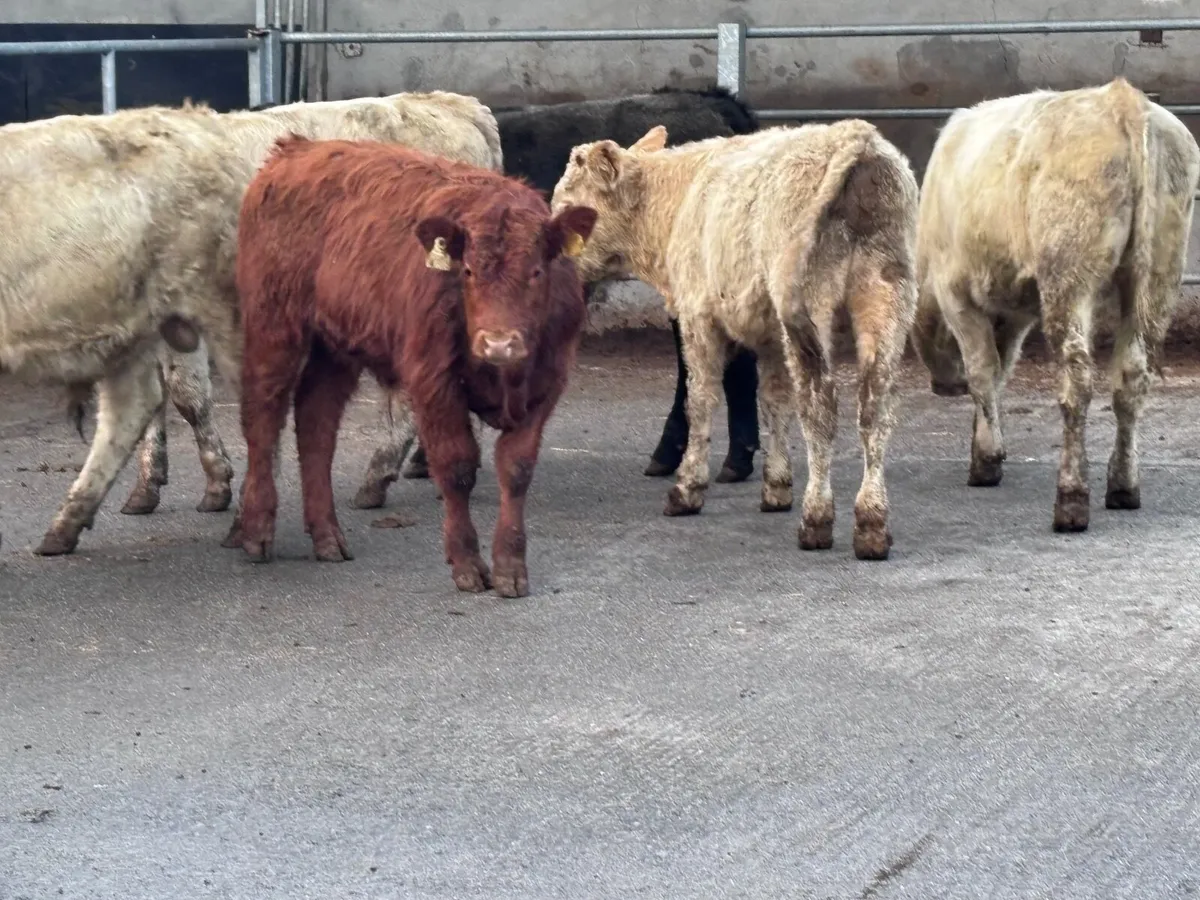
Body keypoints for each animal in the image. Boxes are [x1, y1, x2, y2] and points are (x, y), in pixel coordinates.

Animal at [0, 90, 502, 556]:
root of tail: (453, 102)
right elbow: (168, 399)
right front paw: (155, 484)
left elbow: (187, 396)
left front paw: (217, 484)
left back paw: (377, 476)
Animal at [221, 135, 597, 598]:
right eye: (467, 271)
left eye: (538, 271)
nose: (499, 342)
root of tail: (297, 148)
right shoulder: (433, 381)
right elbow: (456, 467)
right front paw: (467, 563)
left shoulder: (545, 387)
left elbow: (516, 470)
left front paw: (511, 567)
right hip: (274, 328)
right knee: (263, 414)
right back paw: (257, 530)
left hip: (335, 347)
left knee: (316, 424)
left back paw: (327, 535)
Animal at [550, 121, 920, 560]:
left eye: (568, 205)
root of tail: (855, 138)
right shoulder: (772, 334)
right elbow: (774, 400)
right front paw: (777, 486)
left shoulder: (698, 315)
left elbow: (701, 398)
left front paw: (687, 487)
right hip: (887, 295)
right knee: (875, 407)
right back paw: (872, 523)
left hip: (812, 301)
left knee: (820, 407)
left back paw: (817, 518)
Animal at [911, 77, 1200, 533]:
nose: (943, 386)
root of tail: (1122, 100)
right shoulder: (1015, 313)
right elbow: (998, 372)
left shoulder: (957, 294)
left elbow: (982, 371)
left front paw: (986, 461)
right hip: (1159, 277)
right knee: (1132, 378)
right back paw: (1123, 486)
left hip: (1070, 280)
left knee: (1076, 381)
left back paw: (1071, 498)